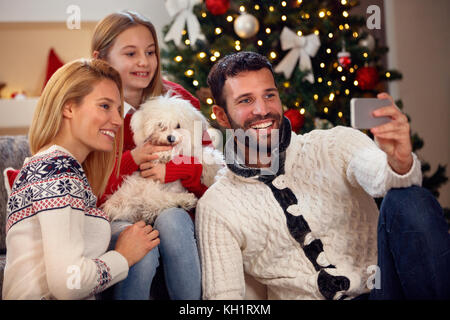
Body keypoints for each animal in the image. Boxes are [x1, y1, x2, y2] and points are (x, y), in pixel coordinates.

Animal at [103, 92, 227, 222]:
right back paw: (185, 199)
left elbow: (204, 156)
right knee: (159, 201)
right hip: (148, 190)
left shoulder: (191, 151)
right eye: (160, 125)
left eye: (178, 125)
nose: (170, 138)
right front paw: (165, 154)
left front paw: (213, 171)